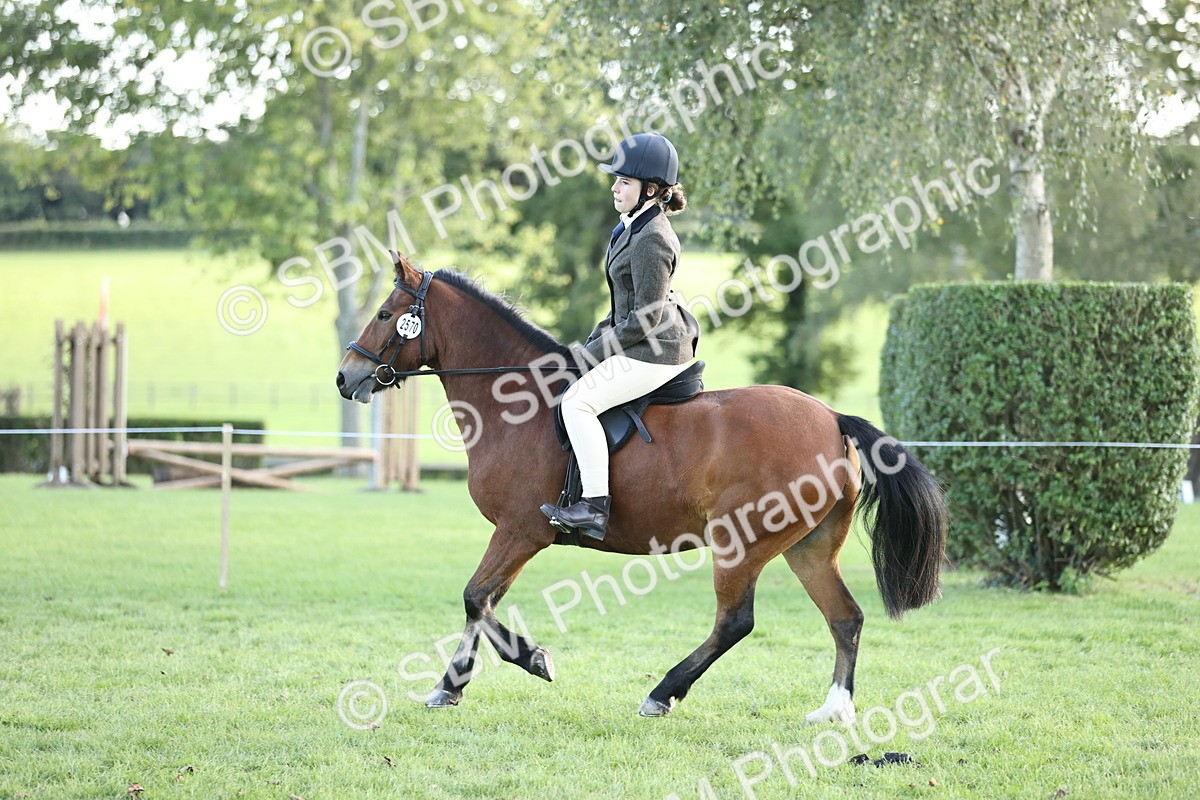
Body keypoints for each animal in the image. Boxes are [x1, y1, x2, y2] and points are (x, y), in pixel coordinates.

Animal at [336, 252, 947, 722]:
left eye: (387, 313)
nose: (346, 378)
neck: (514, 400)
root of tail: (831, 418)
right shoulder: (516, 536)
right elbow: (481, 603)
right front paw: (450, 686)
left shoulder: (521, 530)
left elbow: (474, 597)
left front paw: (533, 660)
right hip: (809, 547)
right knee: (845, 618)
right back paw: (835, 709)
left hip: (742, 544)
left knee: (736, 622)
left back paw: (662, 693)